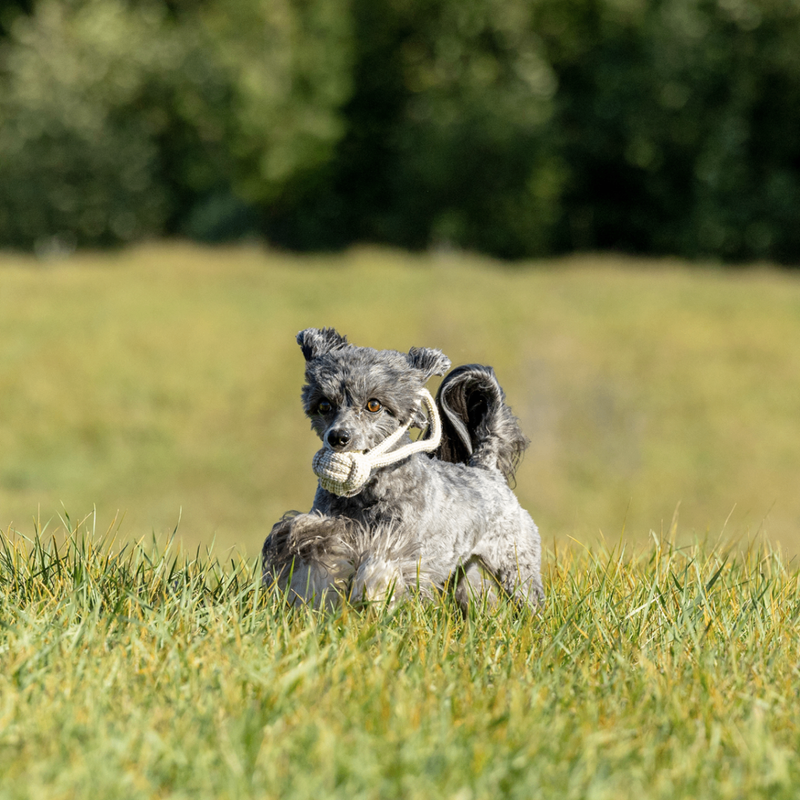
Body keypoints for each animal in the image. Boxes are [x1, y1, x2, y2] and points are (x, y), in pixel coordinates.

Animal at [262, 328, 544, 608]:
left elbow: (384, 563)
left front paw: (372, 593)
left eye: (374, 405)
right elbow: (309, 540)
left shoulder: (405, 544)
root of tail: (486, 468)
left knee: (527, 594)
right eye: (324, 405)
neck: (368, 493)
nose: (338, 437)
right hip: (464, 569)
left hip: (514, 562)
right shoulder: (331, 525)